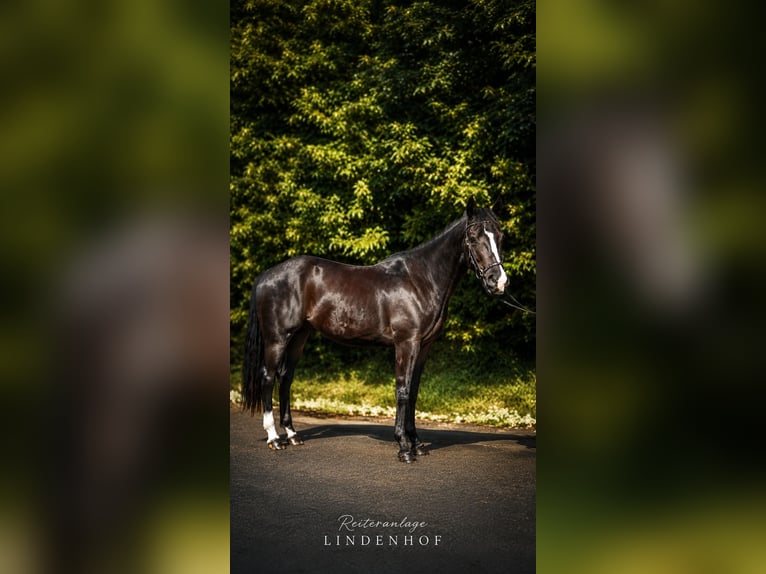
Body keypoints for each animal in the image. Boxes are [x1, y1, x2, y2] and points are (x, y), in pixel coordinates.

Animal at [242, 199, 509, 462]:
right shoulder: (406, 343)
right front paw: (404, 447)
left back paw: (292, 435)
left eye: (500, 235)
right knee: (268, 377)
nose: (498, 281)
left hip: (299, 336)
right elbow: (402, 390)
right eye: (473, 238)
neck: (421, 280)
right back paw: (274, 439)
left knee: (285, 377)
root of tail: (266, 275)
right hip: (277, 338)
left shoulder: (424, 346)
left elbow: (413, 392)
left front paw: (417, 443)